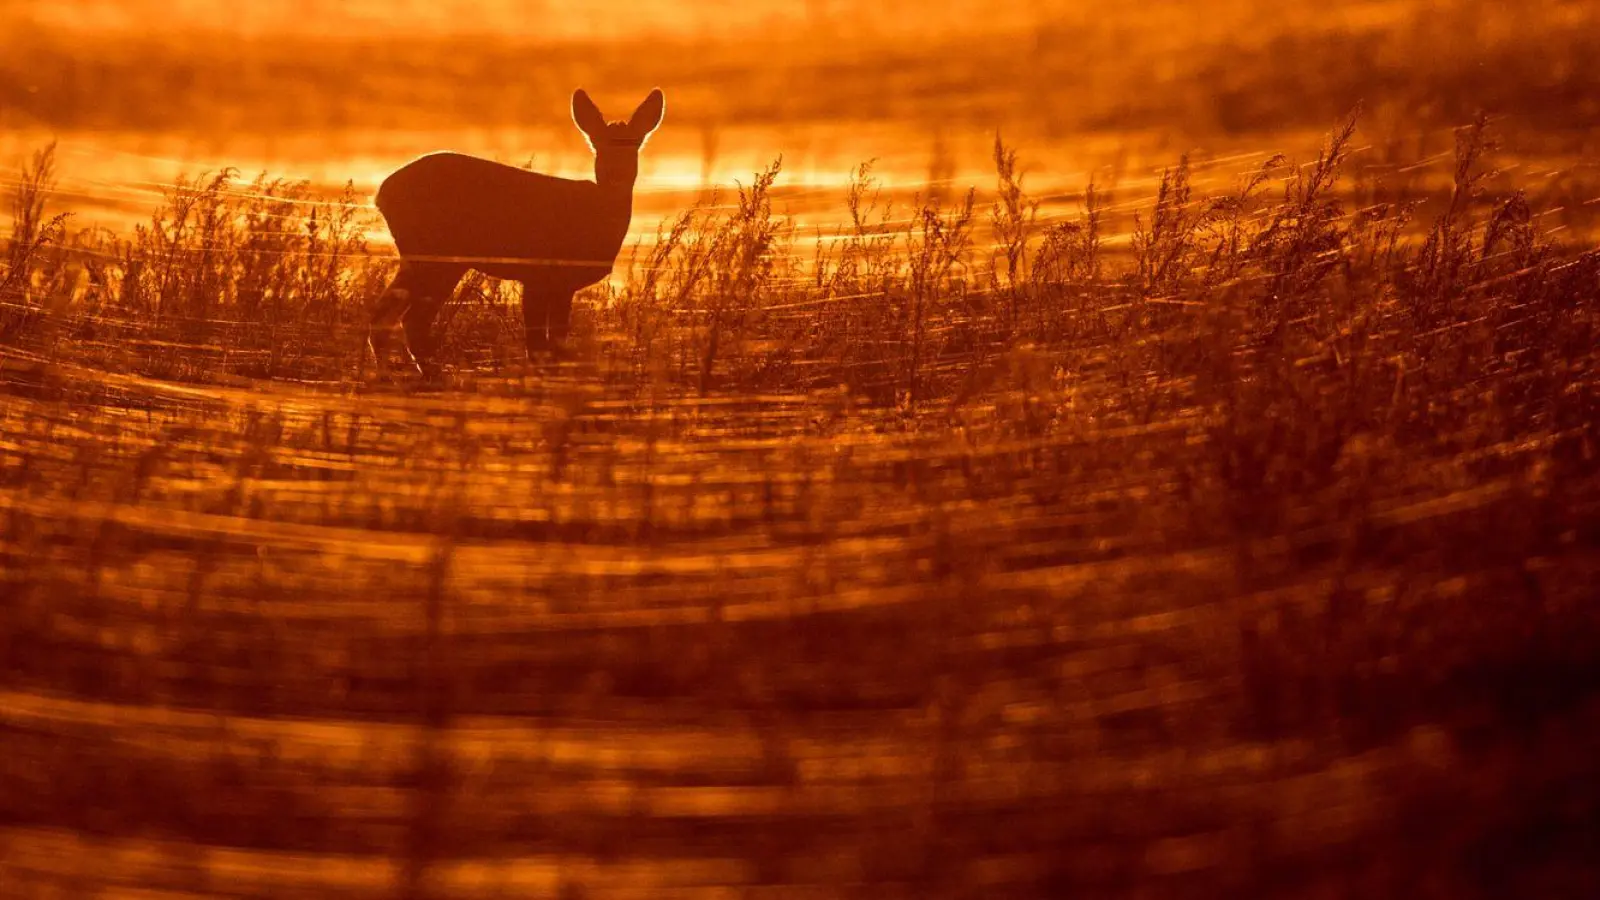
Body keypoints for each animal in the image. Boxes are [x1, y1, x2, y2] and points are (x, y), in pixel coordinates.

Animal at [366, 86, 662, 374]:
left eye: (635, 143)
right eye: (597, 143)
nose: (616, 173)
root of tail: (381, 193)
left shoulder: (562, 284)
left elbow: (555, 342)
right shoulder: (537, 273)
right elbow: (538, 345)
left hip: (419, 256)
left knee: (383, 313)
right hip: (438, 255)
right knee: (411, 320)